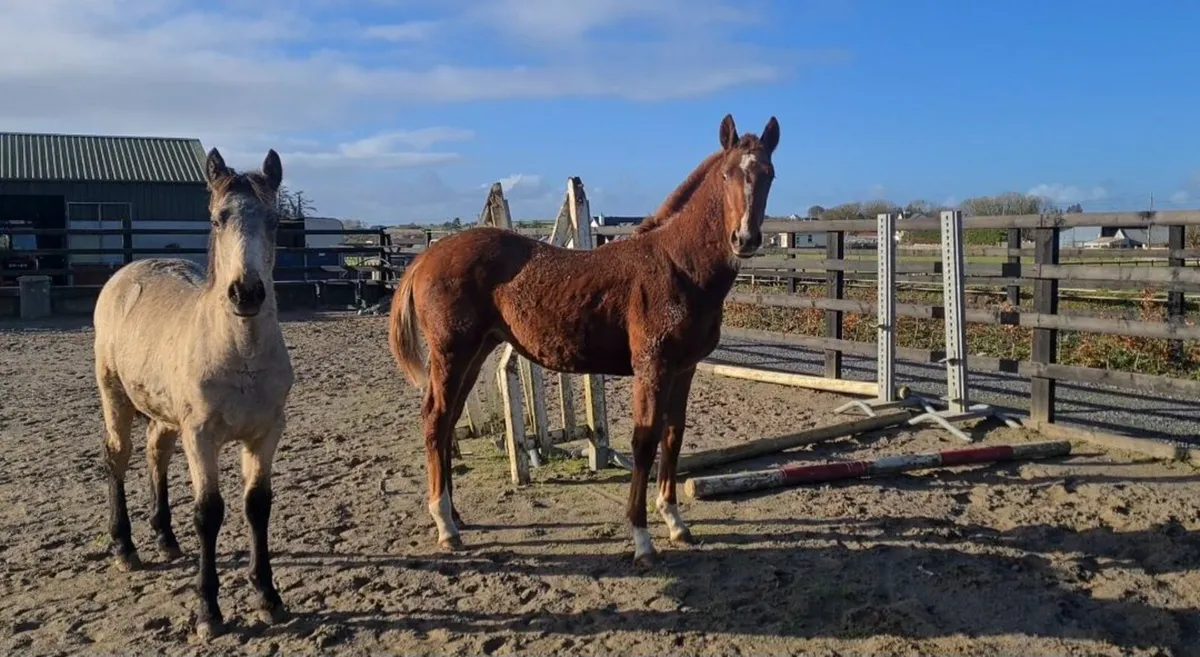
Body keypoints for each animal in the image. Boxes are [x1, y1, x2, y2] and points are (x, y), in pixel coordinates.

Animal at [91, 147, 294, 639]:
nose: (247, 293)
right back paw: (125, 547)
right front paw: (208, 610)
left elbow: (257, 506)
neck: (241, 355)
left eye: (275, 221)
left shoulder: (266, 433)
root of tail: (127, 270)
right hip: (114, 395)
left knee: (155, 453)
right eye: (218, 218)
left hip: (165, 416)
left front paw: (268, 597)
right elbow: (209, 513)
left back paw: (164, 537)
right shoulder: (200, 436)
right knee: (118, 456)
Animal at [388, 113, 779, 568]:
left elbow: (673, 435)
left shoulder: (684, 368)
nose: (745, 239)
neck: (677, 266)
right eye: (726, 173)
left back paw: (456, 516)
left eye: (769, 174)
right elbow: (644, 441)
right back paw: (445, 526)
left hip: (475, 352)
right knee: (435, 419)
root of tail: (424, 257)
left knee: (447, 419)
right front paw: (642, 539)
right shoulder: (652, 366)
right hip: (452, 352)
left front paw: (676, 523)